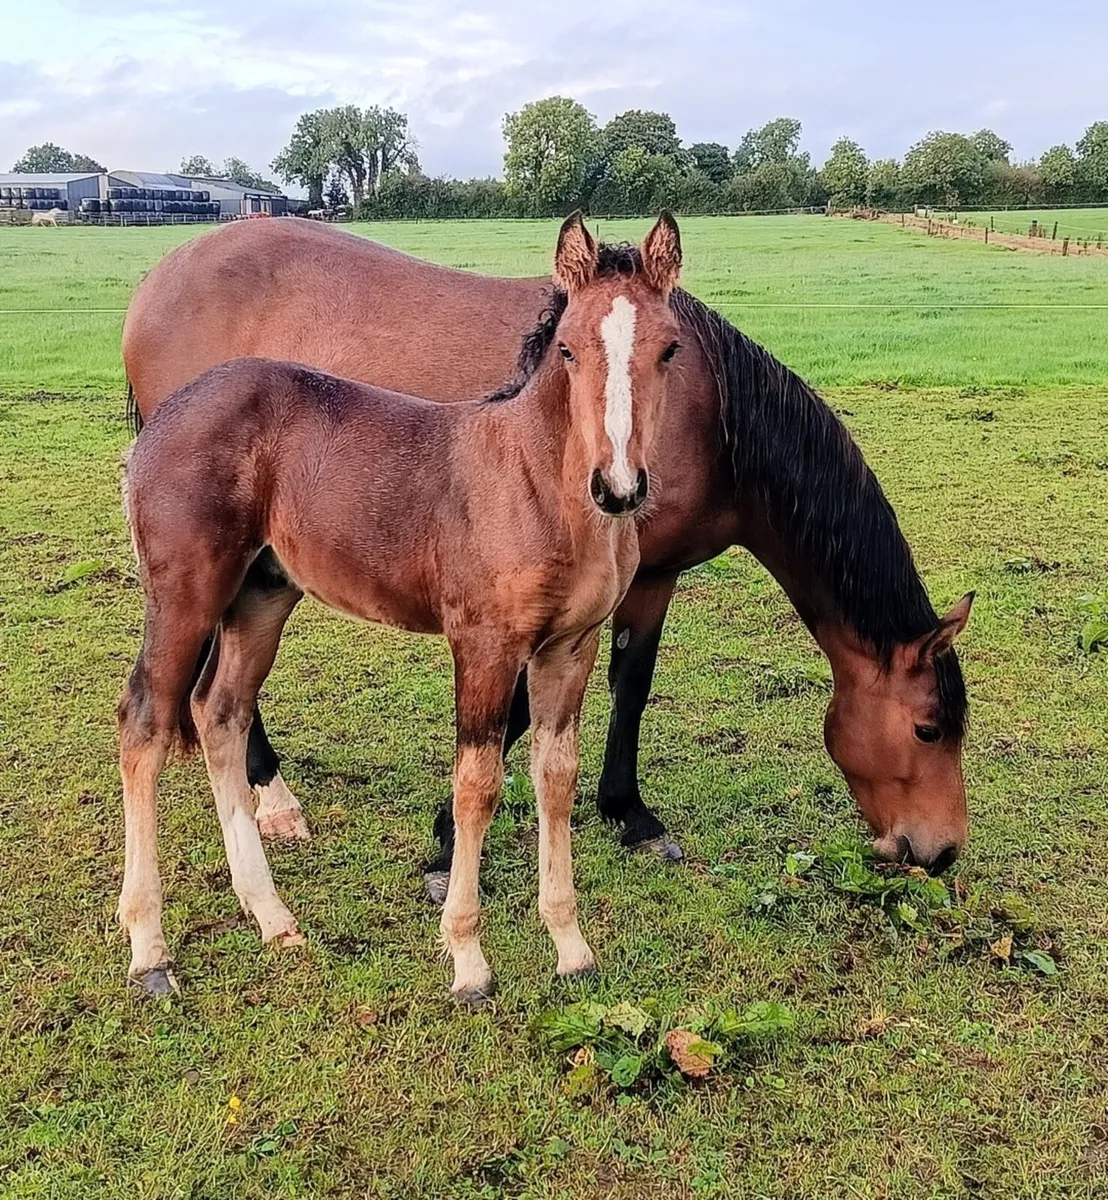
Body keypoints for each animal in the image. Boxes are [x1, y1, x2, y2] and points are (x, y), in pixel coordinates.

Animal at [117, 213, 684, 1000]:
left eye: (670, 348)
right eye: (568, 348)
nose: (620, 486)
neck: (536, 481)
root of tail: (165, 414)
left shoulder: (569, 647)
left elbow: (556, 778)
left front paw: (572, 947)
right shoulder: (484, 644)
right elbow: (478, 785)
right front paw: (469, 958)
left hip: (262, 595)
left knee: (218, 713)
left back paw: (273, 917)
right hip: (185, 593)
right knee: (144, 722)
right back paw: (149, 947)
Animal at [122, 216, 973, 889]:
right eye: (929, 728)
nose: (939, 852)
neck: (711, 412)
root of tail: (159, 277)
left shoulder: (647, 577)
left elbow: (632, 683)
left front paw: (628, 812)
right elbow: (529, 711)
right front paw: (449, 841)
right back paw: (273, 798)